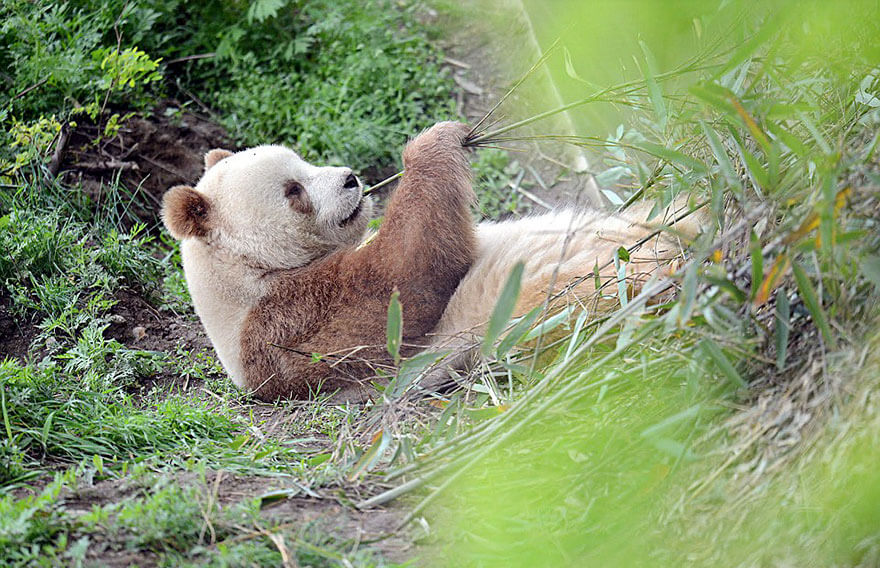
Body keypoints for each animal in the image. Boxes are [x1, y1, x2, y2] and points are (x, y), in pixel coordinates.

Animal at [162, 121, 700, 400]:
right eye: (294, 191)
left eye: (303, 161)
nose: (351, 179)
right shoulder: (289, 327)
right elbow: (405, 280)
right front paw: (434, 142)